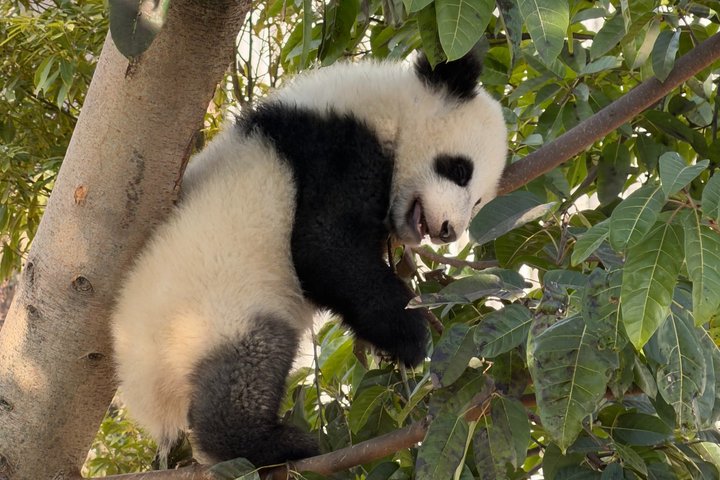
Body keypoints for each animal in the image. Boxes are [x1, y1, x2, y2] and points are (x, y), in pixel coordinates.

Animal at [110, 50, 507, 467]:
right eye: (459, 169)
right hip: (210, 311)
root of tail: (144, 391)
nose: (449, 231)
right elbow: (323, 247)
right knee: (247, 365)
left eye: (479, 202)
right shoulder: (336, 148)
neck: (388, 107)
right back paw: (267, 443)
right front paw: (411, 336)